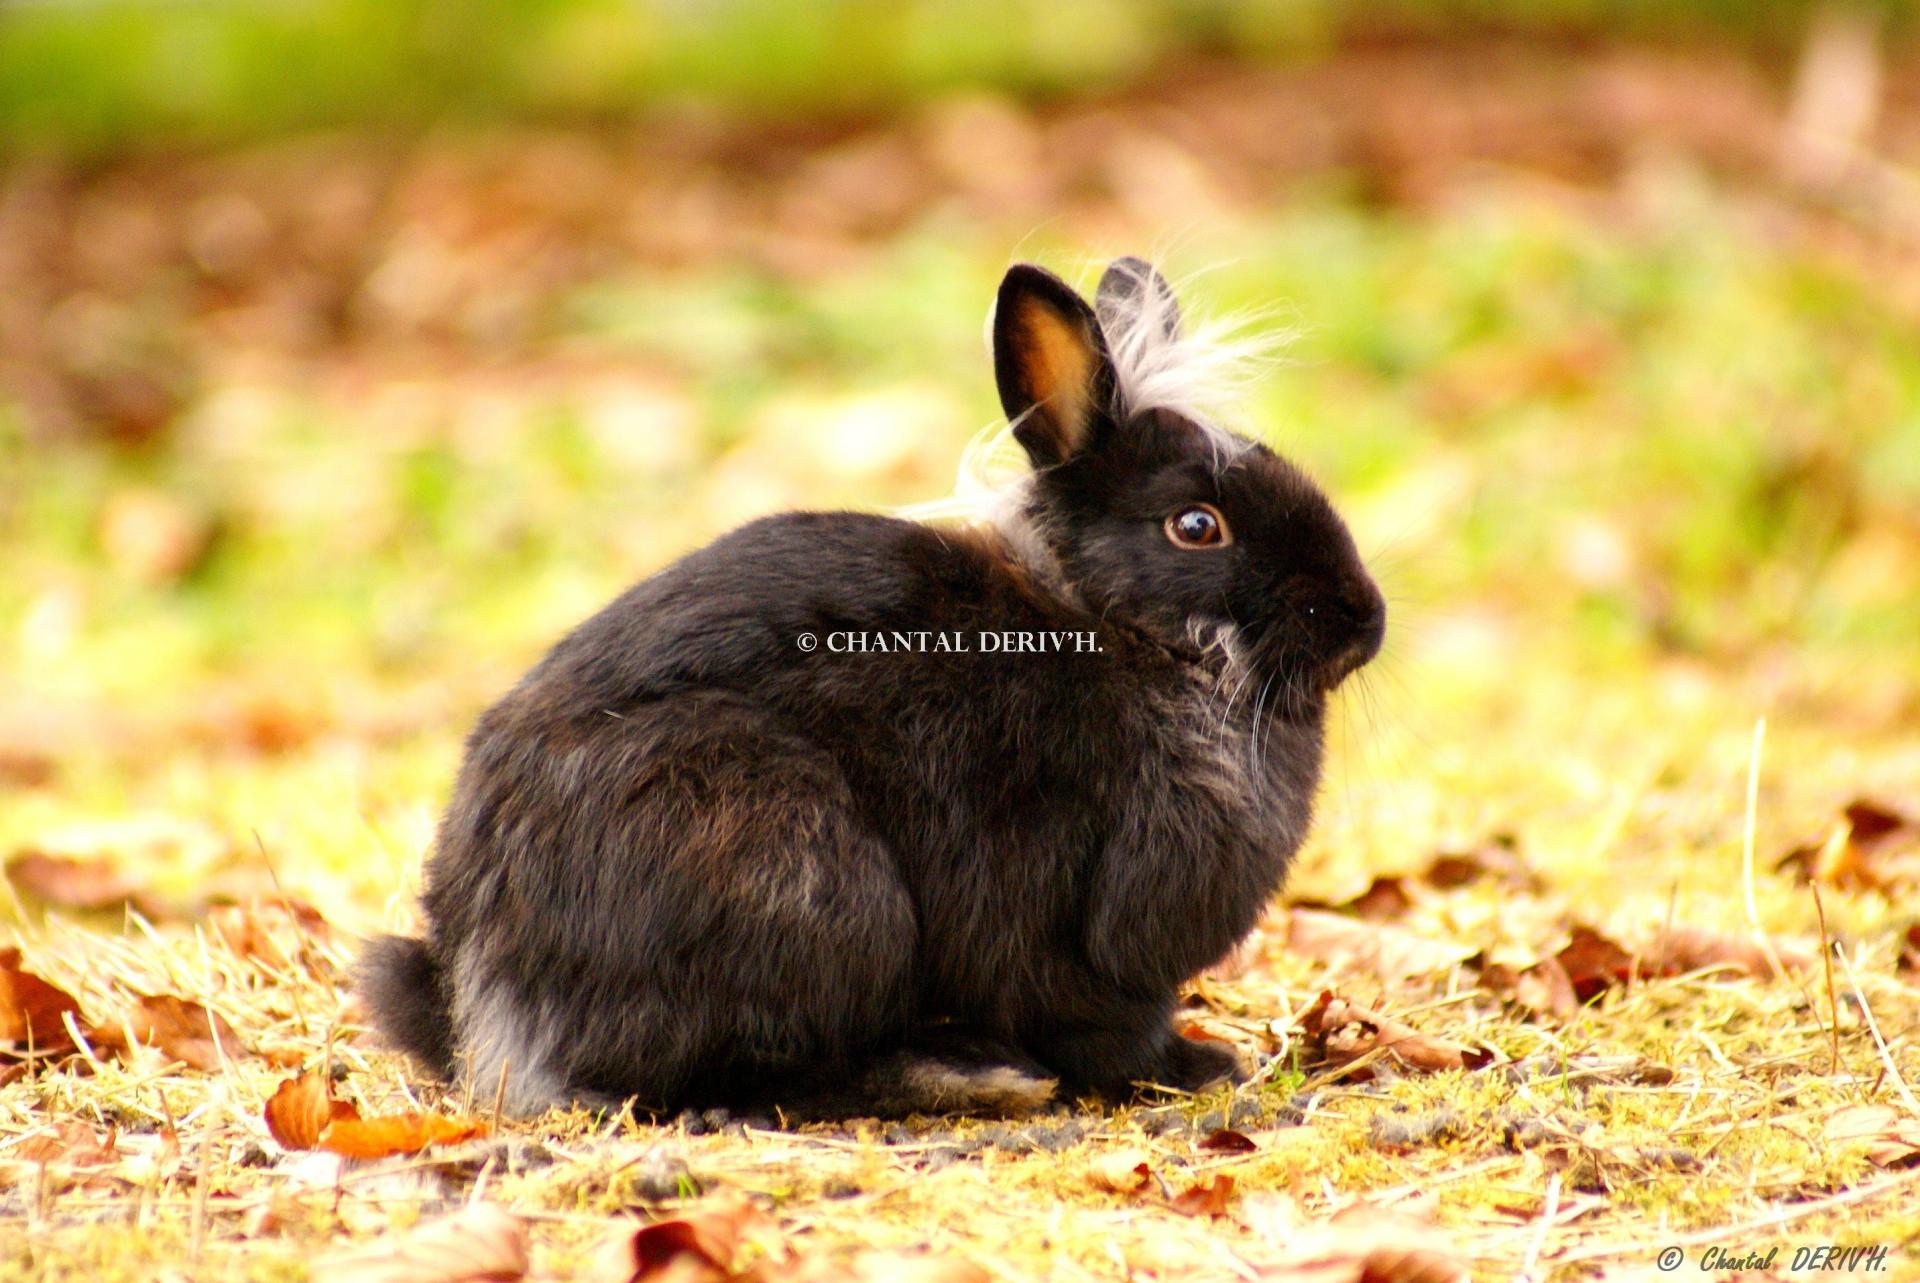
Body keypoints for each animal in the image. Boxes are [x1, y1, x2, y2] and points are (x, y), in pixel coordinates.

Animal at [360, 257, 1382, 1113]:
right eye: (1197, 525)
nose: (1364, 619)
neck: (1128, 631)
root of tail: (486, 980)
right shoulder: (1091, 935)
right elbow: (1108, 1026)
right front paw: (1198, 1064)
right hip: (801, 874)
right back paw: (967, 1077)